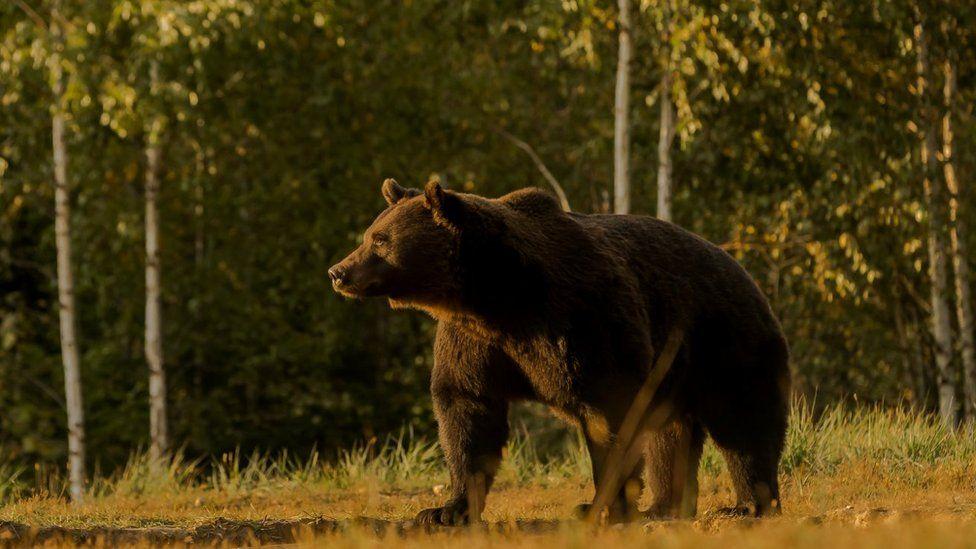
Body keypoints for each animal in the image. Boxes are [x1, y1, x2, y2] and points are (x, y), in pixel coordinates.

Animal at [332, 179, 788, 524]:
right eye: (370, 235)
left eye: (380, 241)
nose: (338, 271)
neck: (497, 295)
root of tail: (742, 270)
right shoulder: (475, 341)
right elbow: (467, 410)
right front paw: (446, 509)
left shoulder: (581, 320)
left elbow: (611, 414)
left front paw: (602, 505)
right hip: (675, 370)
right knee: (671, 434)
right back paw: (665, 506)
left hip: (725, 340)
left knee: (744, 422)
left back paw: (749, 504)